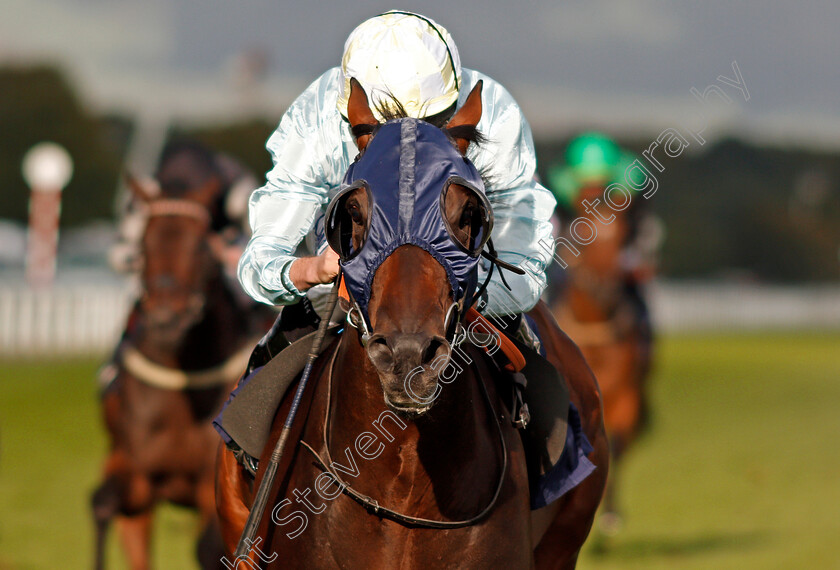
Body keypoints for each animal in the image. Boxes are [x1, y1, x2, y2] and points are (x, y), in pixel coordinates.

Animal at [91, 143, 262, 568]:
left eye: (200, 246)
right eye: (143, 246)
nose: (167, 315)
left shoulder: (208, 484)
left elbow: (210, 547)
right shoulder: (135, 473)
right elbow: (102, 504)